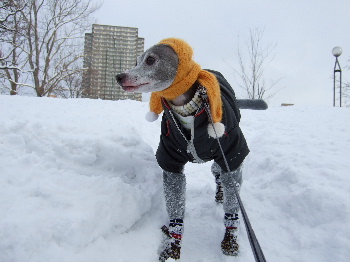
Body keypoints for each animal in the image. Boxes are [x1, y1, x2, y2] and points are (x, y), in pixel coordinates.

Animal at [116, 37, 250, 260]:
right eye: (136, 61)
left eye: (150, 60)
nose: (119, 76)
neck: (188, 109)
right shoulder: (171, 164)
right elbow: (176, 206)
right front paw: (173, 244)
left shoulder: (232, 155)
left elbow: (233, 202)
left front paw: (230, 240)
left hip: (222, 158)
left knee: (221, 176)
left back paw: (221, 195)